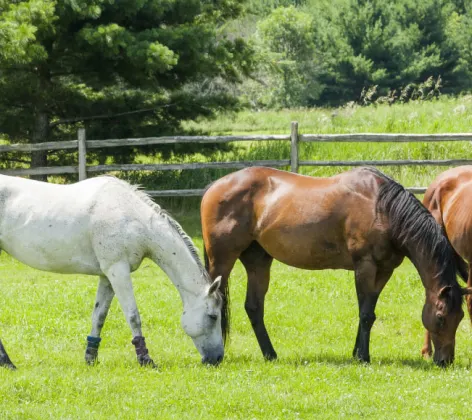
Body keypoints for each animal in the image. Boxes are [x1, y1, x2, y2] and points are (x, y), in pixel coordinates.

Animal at [0, 174, 224, 368]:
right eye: (213, 316)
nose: (217, 358)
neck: (132, 218)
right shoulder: (118, 271)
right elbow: (133, 316)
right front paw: (145, 359)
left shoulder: (107, 276)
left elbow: (99, 316)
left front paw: (90, 358)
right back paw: (7, 362)